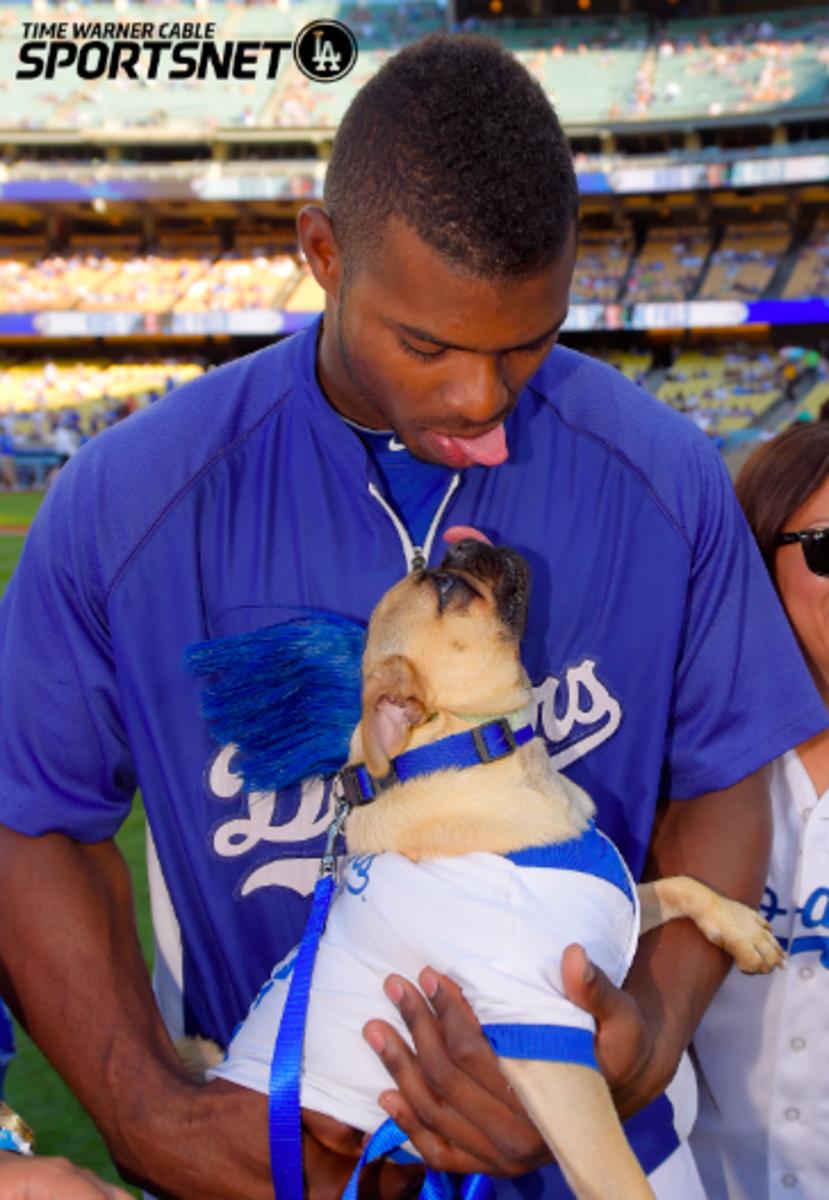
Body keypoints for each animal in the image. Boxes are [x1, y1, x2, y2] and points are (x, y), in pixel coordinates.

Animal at [207, 542, 787, 1200]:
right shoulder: (547, 1044)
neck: (478, 749)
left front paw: (741, 929)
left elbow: (682, 884)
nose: (462, 543)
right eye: (444, 590)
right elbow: (619, 1173)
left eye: (437, 571)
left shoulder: (623, 911)